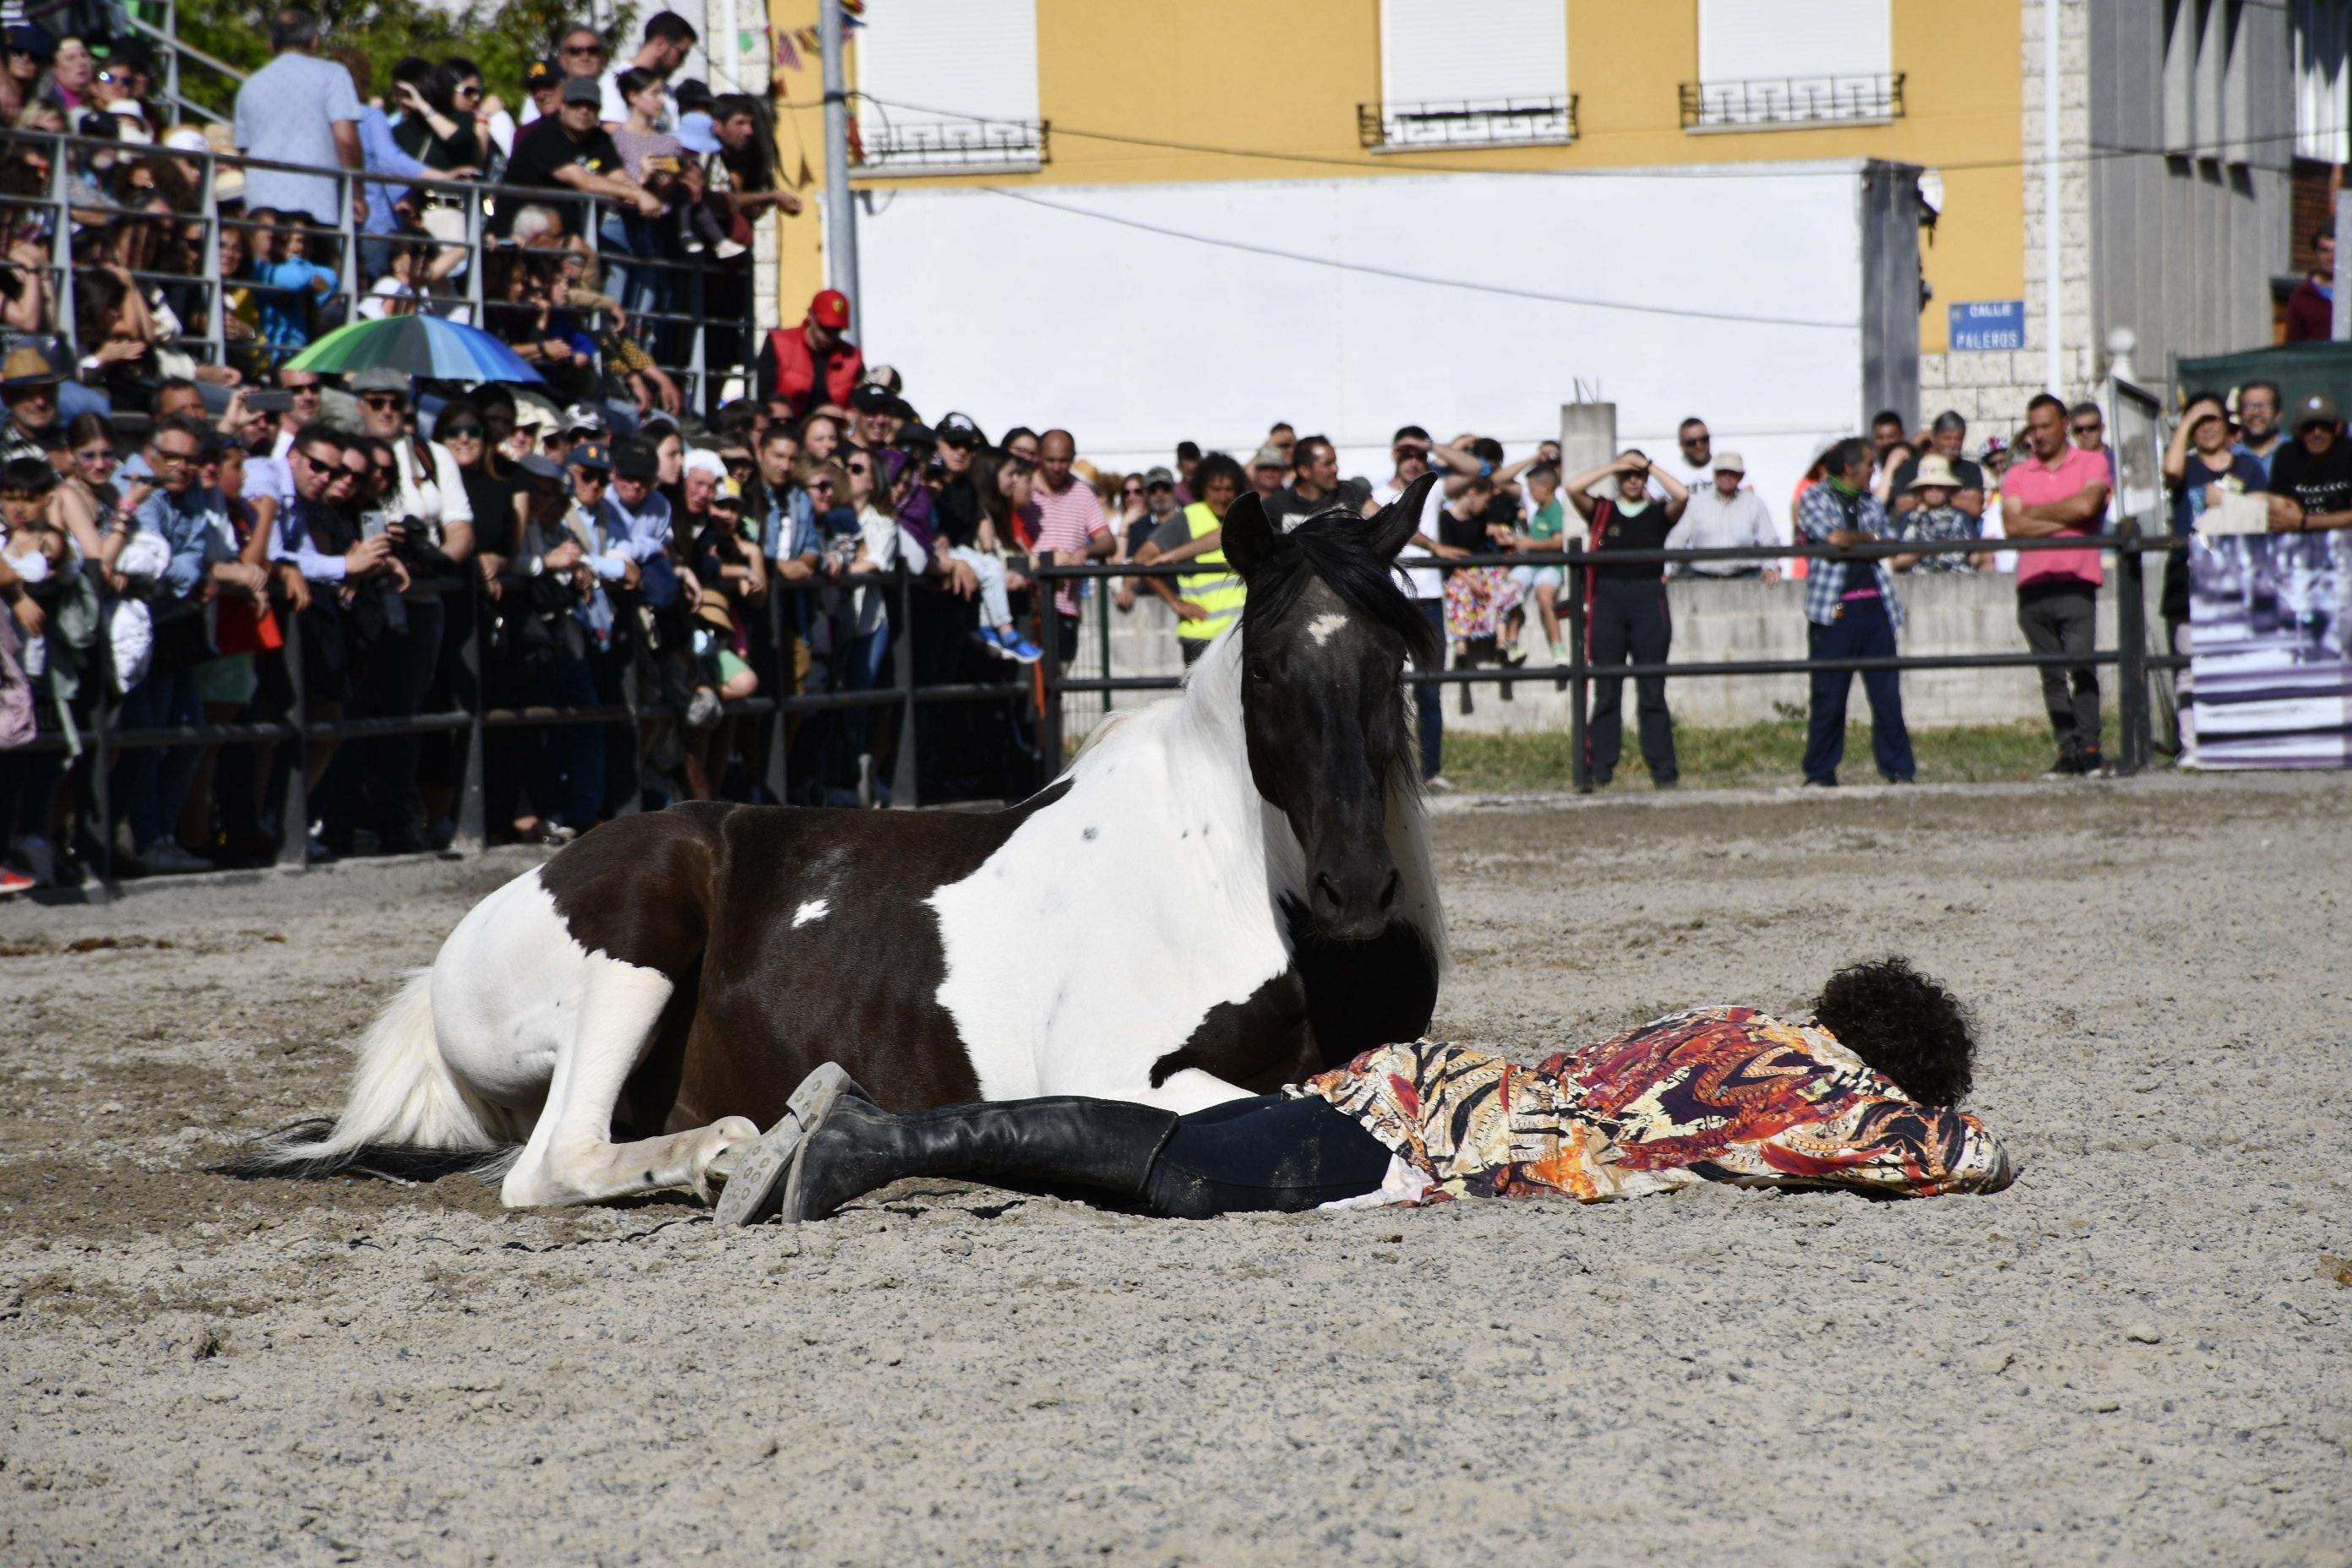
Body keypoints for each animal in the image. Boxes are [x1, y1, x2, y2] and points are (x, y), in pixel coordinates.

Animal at [238, 482, 1448, 1212]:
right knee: (551, 1162)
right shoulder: (1111, 1064)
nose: (1355, 886)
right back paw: (724, 1153)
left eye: (1394, 655)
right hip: (635, 937)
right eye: (1269, 671)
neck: (1232, 877)